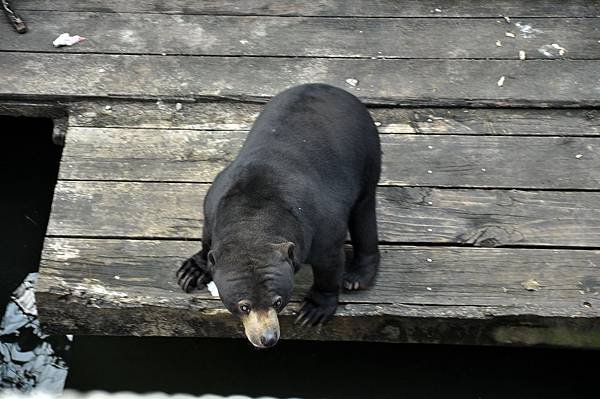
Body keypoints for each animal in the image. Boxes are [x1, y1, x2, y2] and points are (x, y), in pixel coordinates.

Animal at [177, 83, 380, 346]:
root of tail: (335, 89)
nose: (268, 338)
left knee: (363, 213)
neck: (254, 216)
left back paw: (356, 277)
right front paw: (191, 270)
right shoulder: (214, 203)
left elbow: (329, 262)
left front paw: (313, 310)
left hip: (366, 154)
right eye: (244, 306)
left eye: (278, 301)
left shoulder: (318, 226)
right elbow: (207, 238)